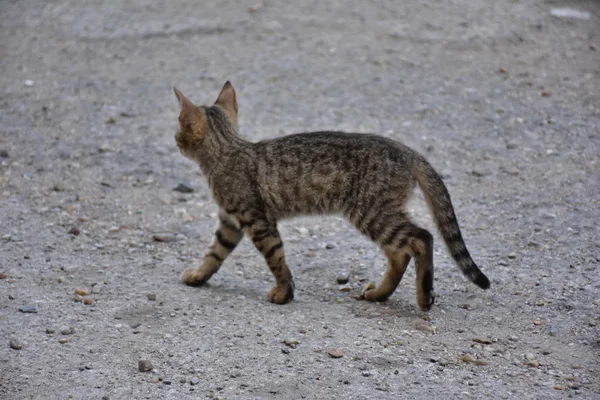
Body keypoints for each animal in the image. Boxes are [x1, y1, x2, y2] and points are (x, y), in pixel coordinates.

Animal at [171, 82, 490, 312]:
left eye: (178, 128)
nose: (175, 142)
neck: (228, 150)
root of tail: (409, 152)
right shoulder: (230, 221)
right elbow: (214, 253)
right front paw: (198, 275)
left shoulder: (256, 220)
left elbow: (276, 259)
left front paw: (283, 293)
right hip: (377, 214)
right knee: (400, 253)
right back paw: (380, 294)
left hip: (371, 212)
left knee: (422, 239)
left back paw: (423, 297)